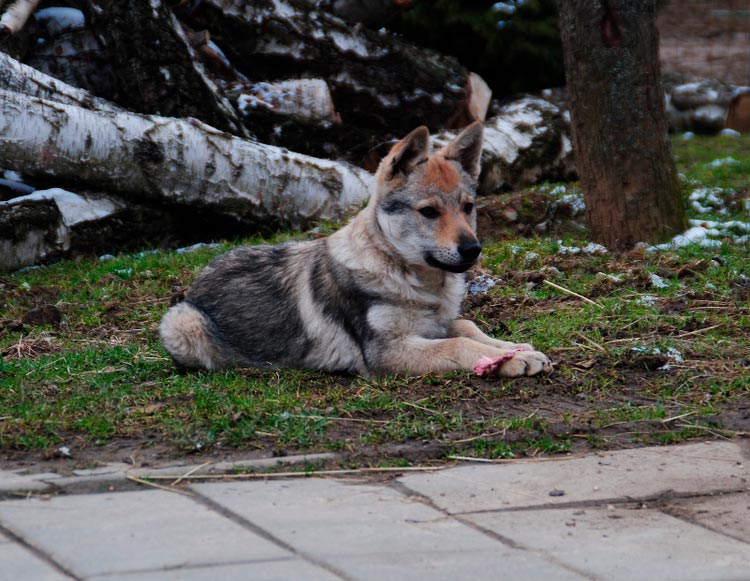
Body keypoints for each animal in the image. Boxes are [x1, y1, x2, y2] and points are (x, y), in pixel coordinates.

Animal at [159, 122, 553, 378]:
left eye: (467, 207)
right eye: (429, 212)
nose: (473, 249)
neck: (415, 282)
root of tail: (199, 280)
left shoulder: (436, 325)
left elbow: (468, 327)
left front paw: (515, 350)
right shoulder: (386, 352)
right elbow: (458, 346)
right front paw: (510, 361)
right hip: (182, 323)